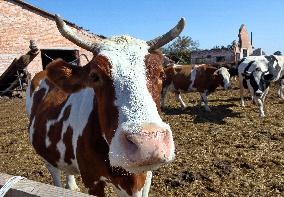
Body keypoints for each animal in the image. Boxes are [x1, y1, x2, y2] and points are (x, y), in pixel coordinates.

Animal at [25, 14, 185, 196]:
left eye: (161, 74)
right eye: (95, 76)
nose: (147, 143)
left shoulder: (145, 178)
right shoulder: (92, 180)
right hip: (44, 152)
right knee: (54, 172)